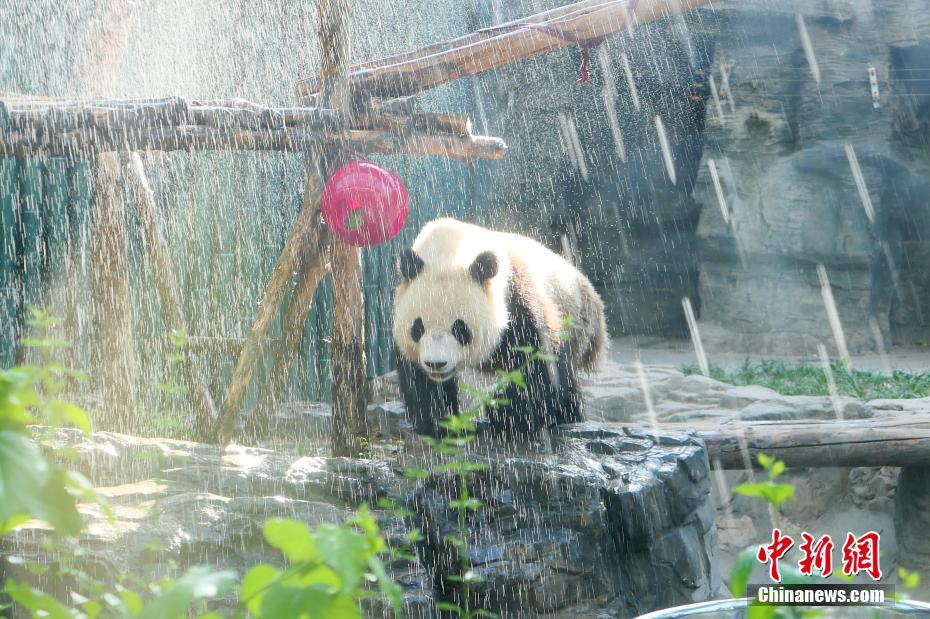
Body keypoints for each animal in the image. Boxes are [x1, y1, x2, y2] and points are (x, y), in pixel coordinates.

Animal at [392, 216, 608, 438]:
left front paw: (509, 414)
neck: (447, 252)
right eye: (417, 328)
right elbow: (418, 379)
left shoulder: (516, 294)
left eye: (460, 329)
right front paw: (440, 423)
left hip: (577, 322)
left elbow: (538, 362)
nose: (436, 364)